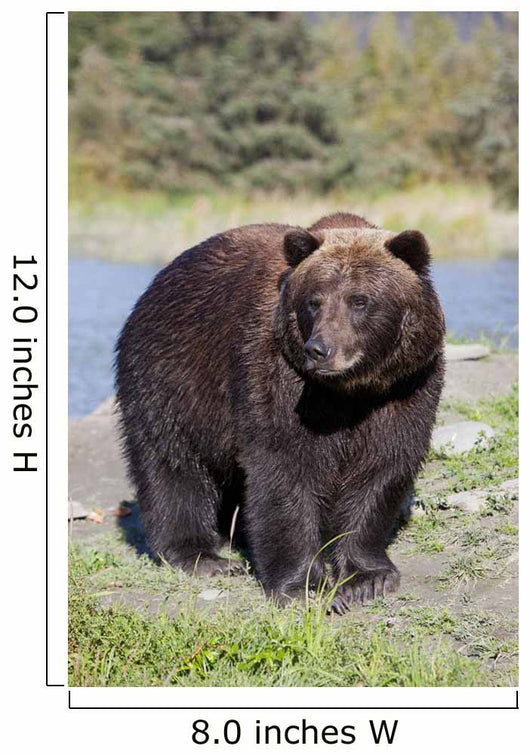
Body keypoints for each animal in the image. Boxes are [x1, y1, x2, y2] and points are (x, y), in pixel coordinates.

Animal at [115, 212, 445, 613]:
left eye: (360, 300)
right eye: (314, 301)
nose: (320, 349)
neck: (349, 389)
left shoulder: (405, 386)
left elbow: (382, 467)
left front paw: (367, 579)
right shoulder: (278, 375)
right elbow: (284, 468)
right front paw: (303, 585)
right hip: (170, 376)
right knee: (173, 464)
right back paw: (203, 556)